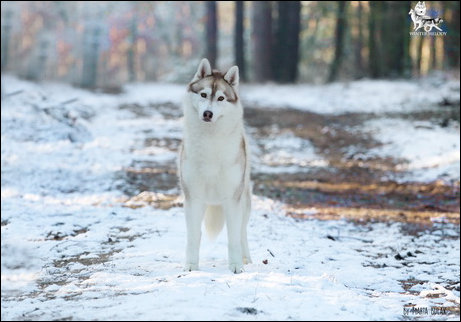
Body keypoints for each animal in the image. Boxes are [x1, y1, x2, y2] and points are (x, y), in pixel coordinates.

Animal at [180, 58, 252, 274]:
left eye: (221, 98)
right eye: (203, 95)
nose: (208, 113)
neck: (210, 141)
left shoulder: (232, 198)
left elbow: (233, 237)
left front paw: (236, 266)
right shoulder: (193, 198)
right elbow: (194, 236)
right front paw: (190, 266)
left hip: (244, 201)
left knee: (242, 233)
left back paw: (246, 259)